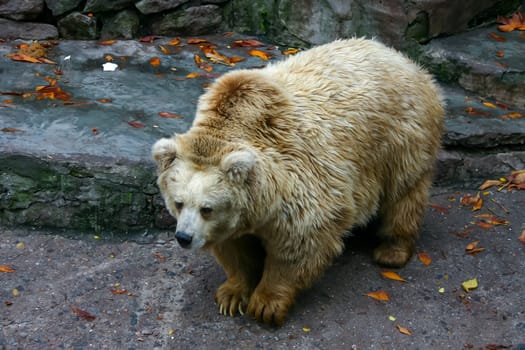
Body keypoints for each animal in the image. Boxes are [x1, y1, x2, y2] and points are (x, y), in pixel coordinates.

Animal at [151, 37, 442, 326]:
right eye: (178, 203)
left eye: (206, 208)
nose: (184, 237)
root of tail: (400, 57)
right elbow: (234, 248)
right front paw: (231, 295)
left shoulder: (298, 180)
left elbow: (299, 242)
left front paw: (266, 304)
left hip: (399, 138)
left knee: (404, 194)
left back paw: (392, 251)